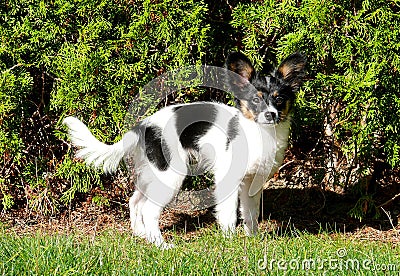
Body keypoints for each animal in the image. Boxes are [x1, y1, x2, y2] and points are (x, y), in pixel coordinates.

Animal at [63, 51, 306, 248]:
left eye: (279, 99)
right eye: (256, 100)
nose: (271, 115)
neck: (259, 132)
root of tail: (144, 126)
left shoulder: (252, 182)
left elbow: (250, 212)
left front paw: (252, 238)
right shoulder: (228, 179)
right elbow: (228, 213)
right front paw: (230, 241)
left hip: (152, 172)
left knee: (136, 201)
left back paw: (141, 234)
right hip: (170, 174)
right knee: (150, 210)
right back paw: (160, 245)